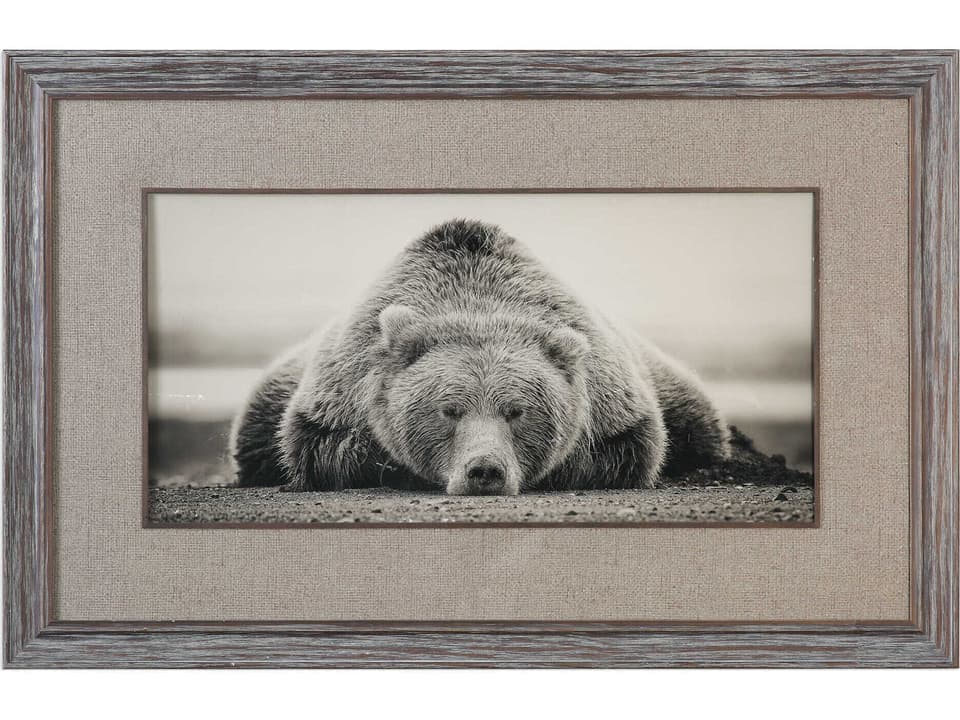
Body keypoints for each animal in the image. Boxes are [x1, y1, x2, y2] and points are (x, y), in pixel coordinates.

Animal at [229, 219, 729, 495]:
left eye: (517, 411)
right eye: (449, 410)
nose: (484, 470)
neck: (476, 299)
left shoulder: (614, 403)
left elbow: (628, 449)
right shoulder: (339, 393)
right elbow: (322, 448)